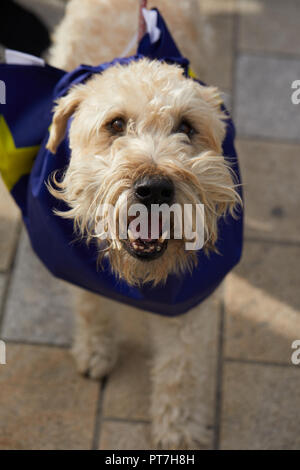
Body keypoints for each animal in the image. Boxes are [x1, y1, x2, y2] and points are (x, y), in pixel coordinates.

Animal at [47, 0, 243, 450]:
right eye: (116, 124)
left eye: (187, 127)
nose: (153, 188)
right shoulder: (73, 259)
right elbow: (90, 305)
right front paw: (96, 349)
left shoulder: (190, 301)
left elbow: (180, 368)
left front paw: (179, 429)